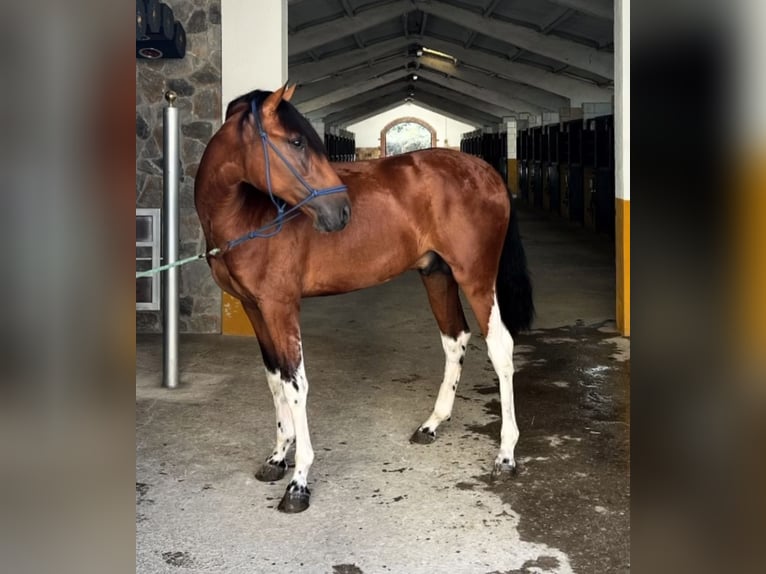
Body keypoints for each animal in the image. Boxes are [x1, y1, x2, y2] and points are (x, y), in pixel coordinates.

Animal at [196, 86, 536, 516]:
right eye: (296, 141)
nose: (341, 212)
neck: (248, 214)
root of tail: (487, 171)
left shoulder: (280, 306)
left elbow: (295, 384)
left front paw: (299, 482)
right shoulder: (254, 308)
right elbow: (275, 378)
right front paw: (277, 458)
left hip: (475, 278)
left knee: (500, 348)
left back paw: (506, 455)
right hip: (437, 275)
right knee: (455, 339)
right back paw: (432, 424)